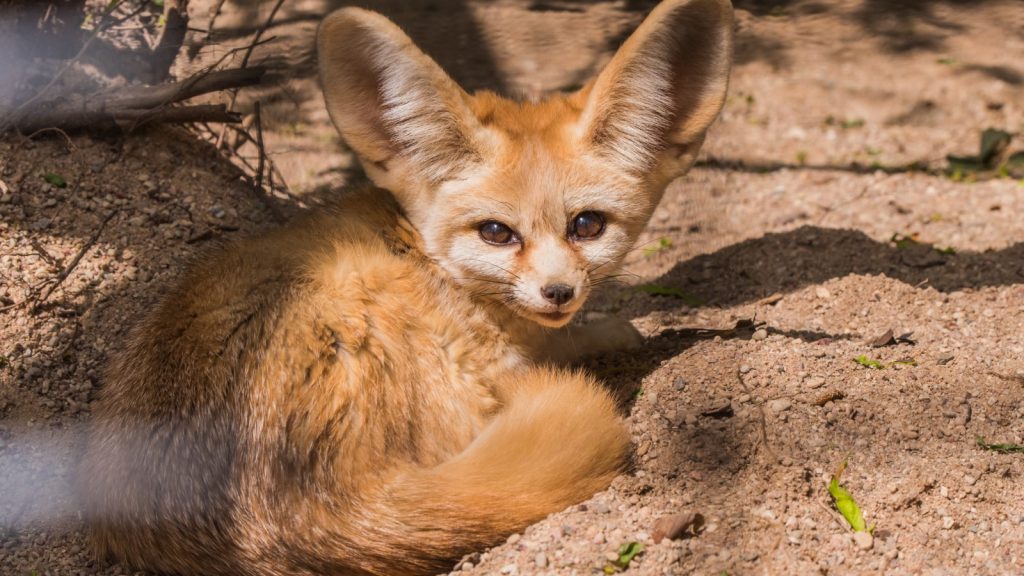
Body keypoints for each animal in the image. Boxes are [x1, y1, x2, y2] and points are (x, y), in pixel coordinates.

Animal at [83, 2, 733, 569]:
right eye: (496, 233)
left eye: (587, 225)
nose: (558, 293)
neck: (425, 256)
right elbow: (565, 347)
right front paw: (607, 334)